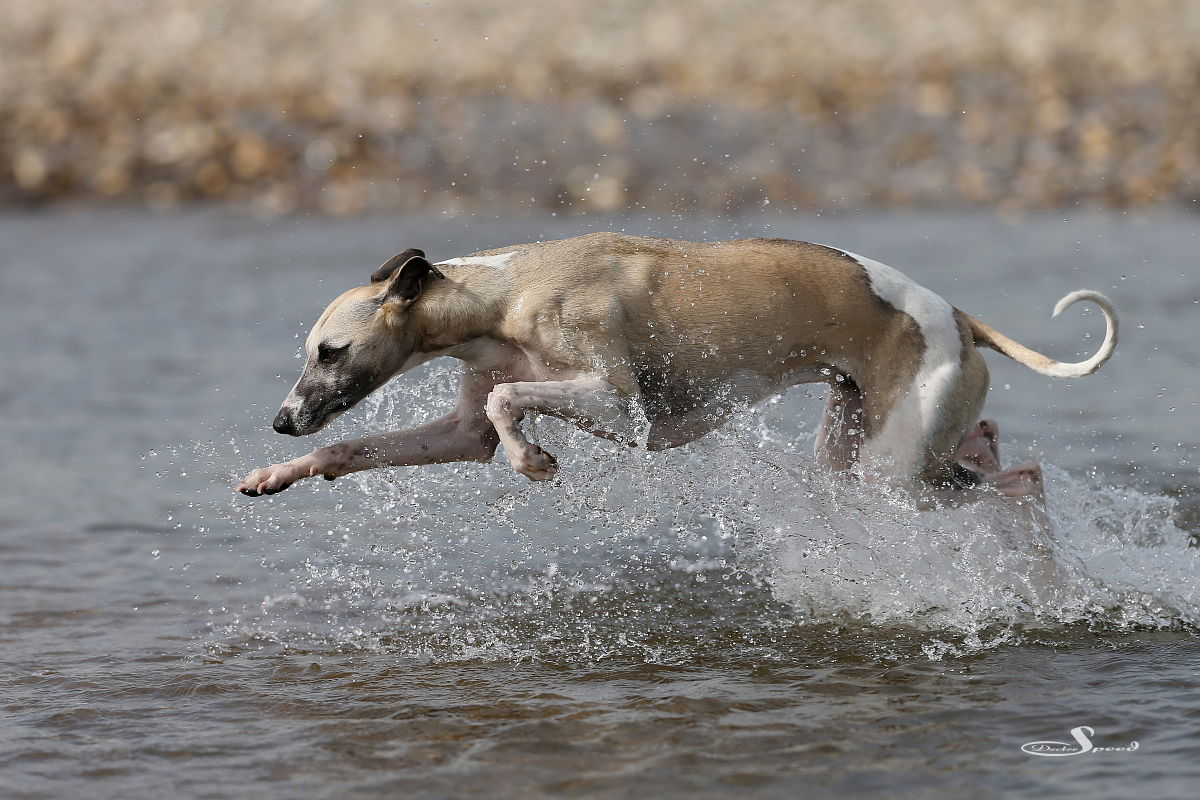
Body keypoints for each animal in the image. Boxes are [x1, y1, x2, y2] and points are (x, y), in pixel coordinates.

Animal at [236, 234, 1117, 499]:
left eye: (330, 350)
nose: (280, 419)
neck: (506, 291)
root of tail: (961, 318)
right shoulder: (460, 425)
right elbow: (369, 443)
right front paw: (279, 473)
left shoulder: (616, 402)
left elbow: (509, 402)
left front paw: (534, 460)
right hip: (857, 447)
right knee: (996, 452)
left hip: (892, 471)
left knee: (1023, 479)